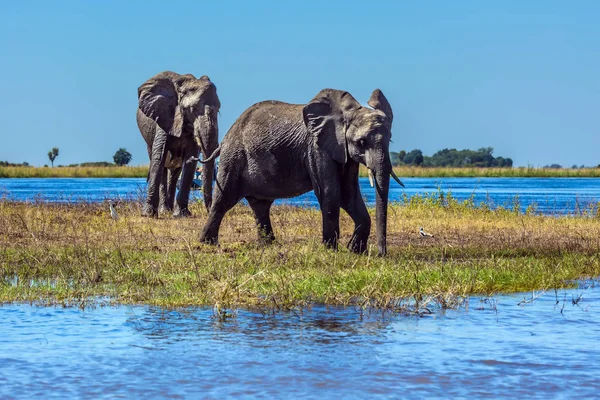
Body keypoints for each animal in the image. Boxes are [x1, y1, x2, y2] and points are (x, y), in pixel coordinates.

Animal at [136, 70, 220, 217]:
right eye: (193, 109)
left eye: (219, 110)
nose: (210, 210)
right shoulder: (164, 116)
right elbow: (159, 157)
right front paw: (148, 215)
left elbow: (189, 161)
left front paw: (182, 215)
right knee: (162, 166)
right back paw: (164, 211)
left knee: (175, 172)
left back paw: (169, 210)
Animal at [200, 88, 404, 256]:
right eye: (361, 142)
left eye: (390, 140)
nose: (381, 254)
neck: (346, 113)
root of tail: (226, 137)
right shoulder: (316, 147)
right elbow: (330, 192)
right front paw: (330, 250)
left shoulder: (344, 152)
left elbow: (349, 194)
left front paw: (354, 250)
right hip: (233, 156)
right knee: (223, 200)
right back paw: (207, 244)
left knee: (260, 205)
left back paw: (269, 245)